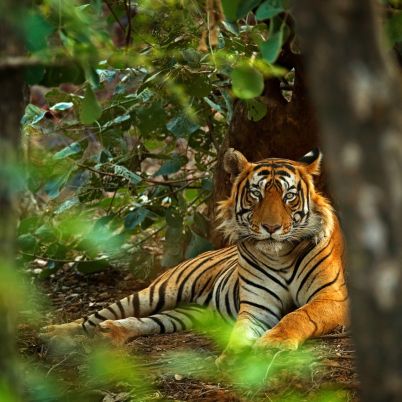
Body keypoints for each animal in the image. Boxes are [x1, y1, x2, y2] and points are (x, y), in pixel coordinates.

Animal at [41, 148, 348, 364]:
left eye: (289, 196)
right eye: (256, 195)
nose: (270, 228)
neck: (280, 255)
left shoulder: (332, 297)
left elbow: (298, 315)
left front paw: (274, 343)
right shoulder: (256, 306)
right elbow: (241, 331)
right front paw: (233, 357)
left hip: (188, 313)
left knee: (147, 321)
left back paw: (111, 332)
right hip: (158, 292)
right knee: (94, 317)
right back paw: (54, 332)